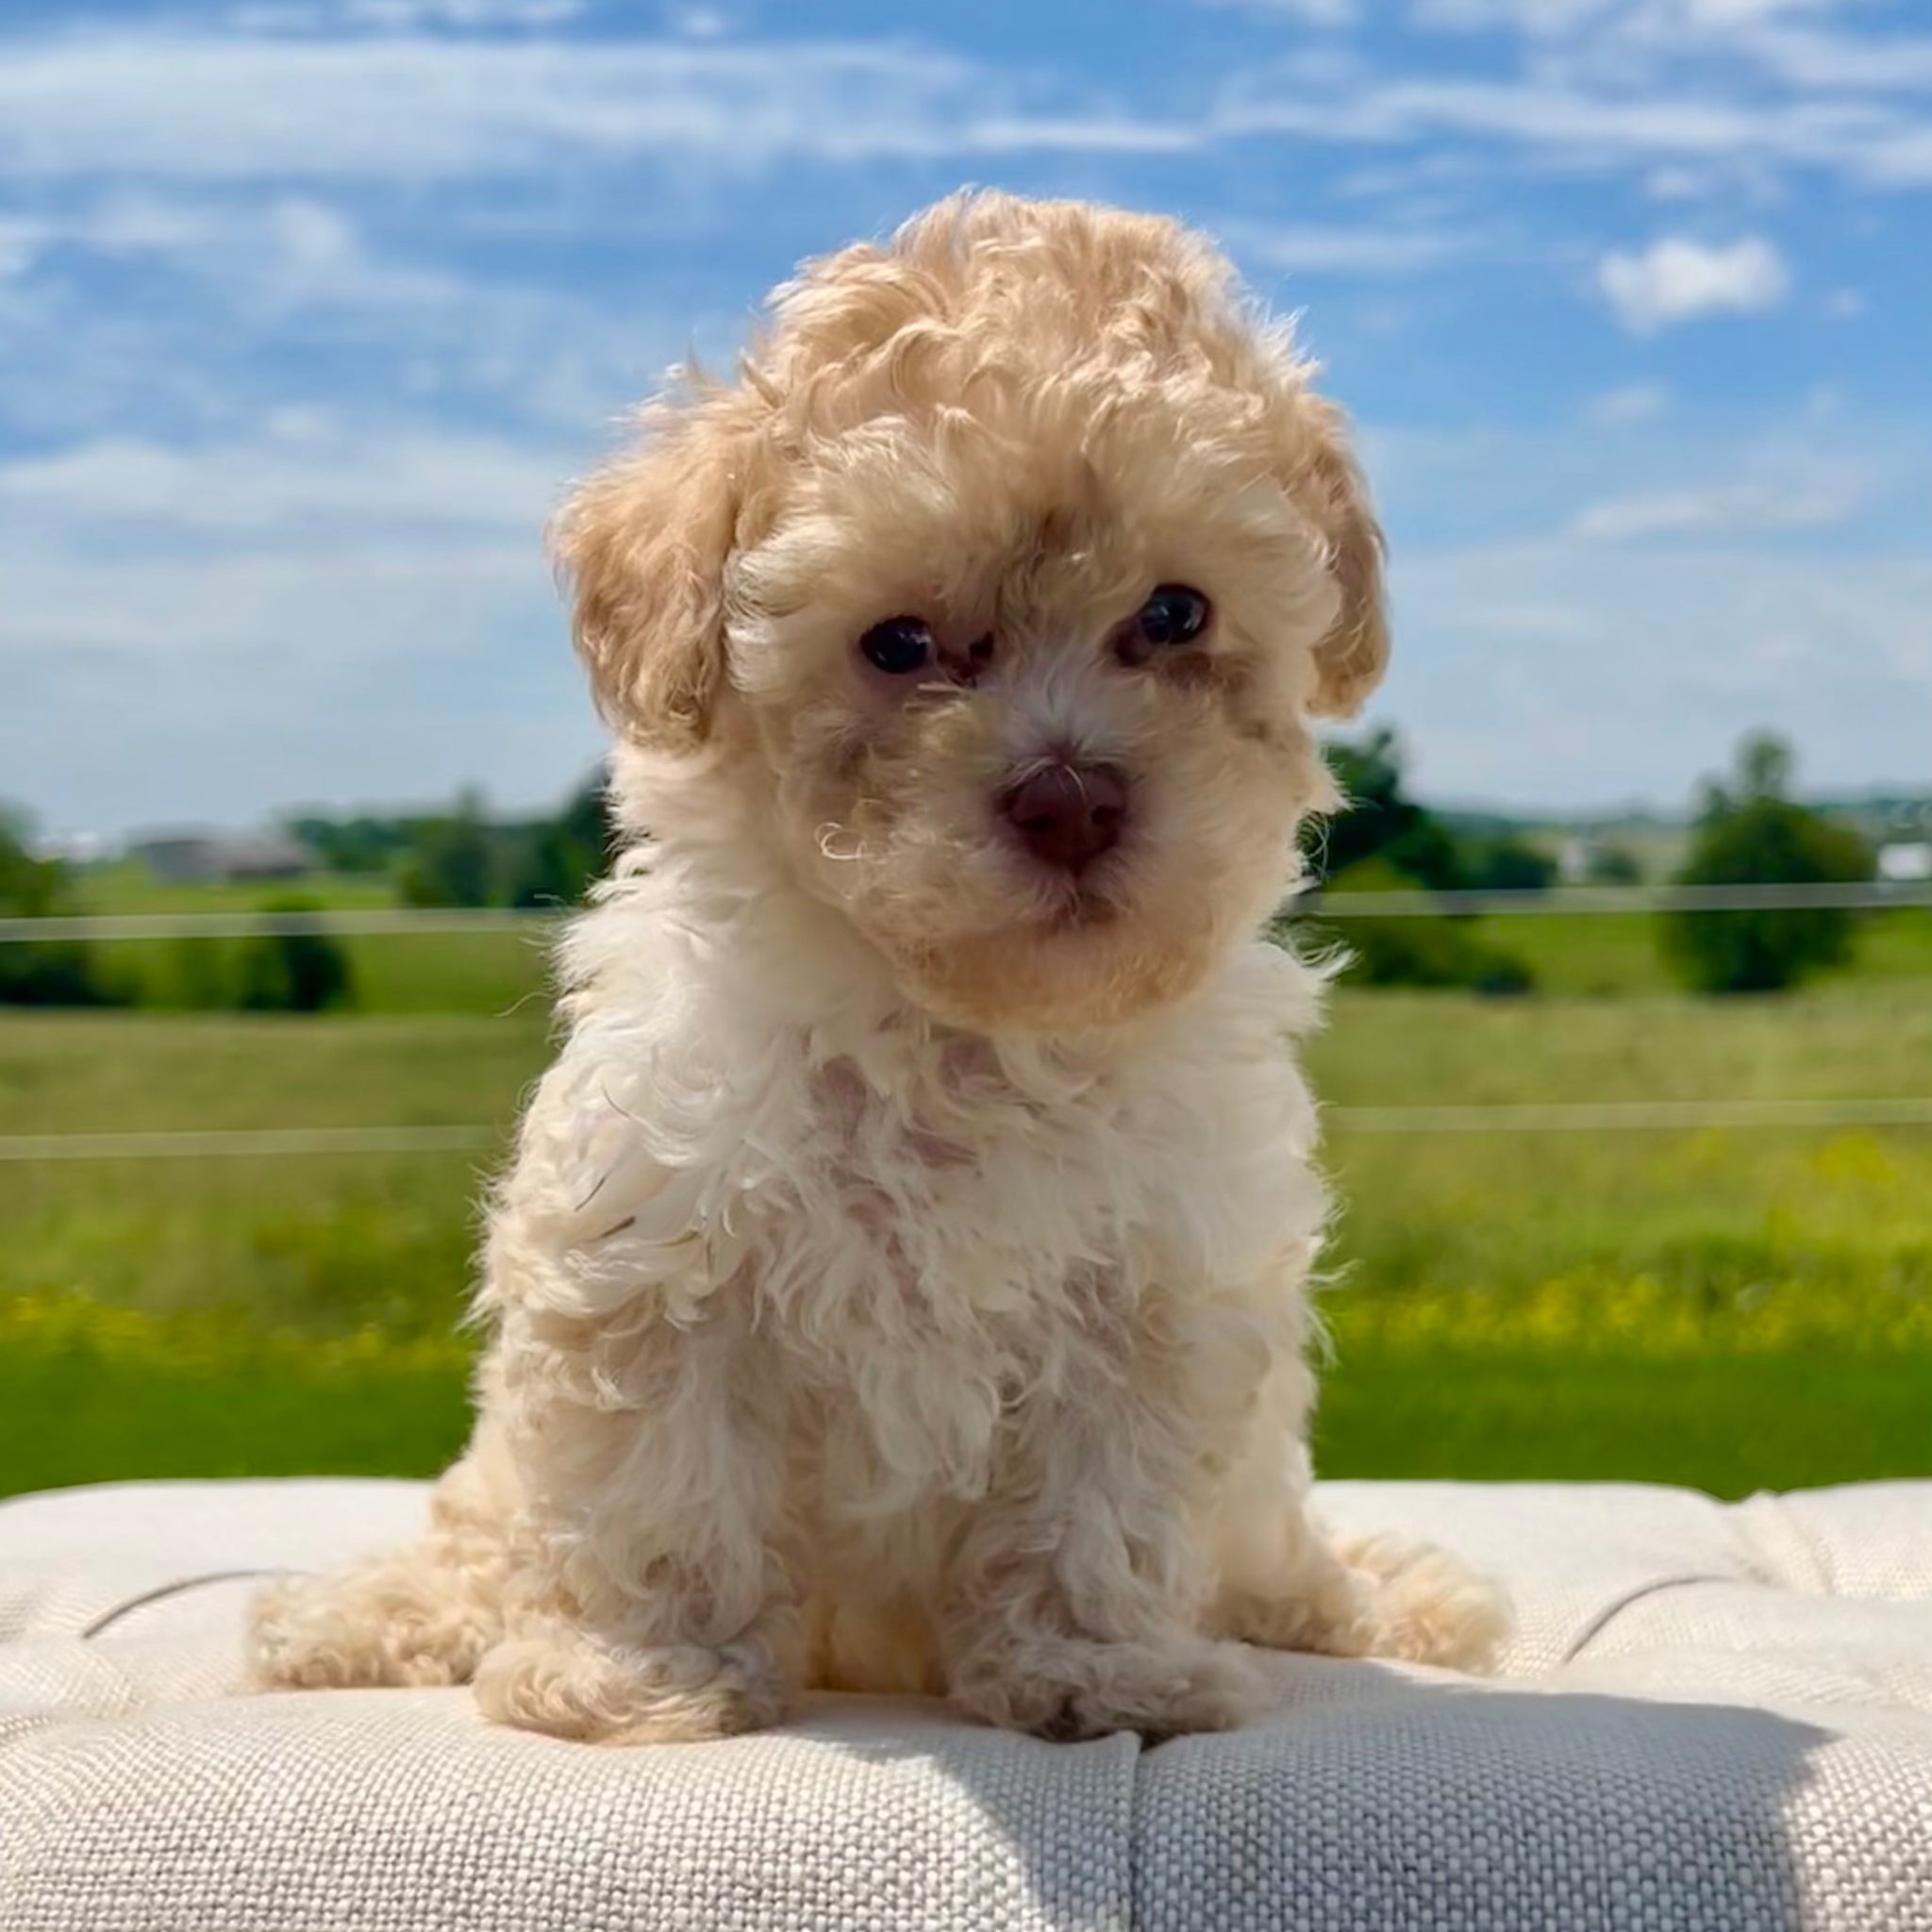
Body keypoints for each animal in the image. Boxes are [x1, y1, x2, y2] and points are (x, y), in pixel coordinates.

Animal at [249, 188, 1499, 1746]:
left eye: (1175, 615)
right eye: (896, 644)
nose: (1071, 798)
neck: (956, 1030)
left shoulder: (1162, 1292)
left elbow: (1105, 1501)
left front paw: (1096, 1672)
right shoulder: (652, 1250)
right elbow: (659, 1488)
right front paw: (646, 1676)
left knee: (1274, 1548)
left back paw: (1359, 1605)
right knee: (480, 1538)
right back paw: (354, 1623)